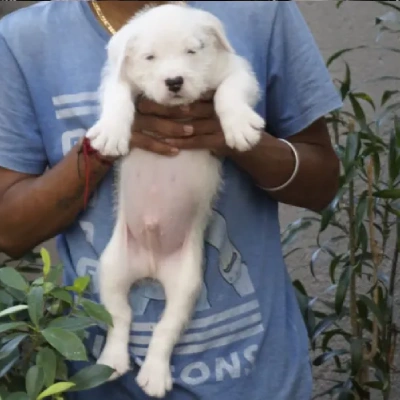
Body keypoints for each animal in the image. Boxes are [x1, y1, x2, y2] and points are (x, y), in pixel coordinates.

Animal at [86, 2, 264, 396]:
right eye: (150, 57)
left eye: (192, 51)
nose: (174, 82)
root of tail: (151, 267)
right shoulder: (117, 77)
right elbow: (118, 98)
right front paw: (112, 132)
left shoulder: (236, 69)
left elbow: (229, 92)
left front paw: (239, 127)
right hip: (111, 269)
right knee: (120, 318)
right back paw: (113, 360)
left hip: (186, 285)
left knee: (164, 330)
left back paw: (153, 375)